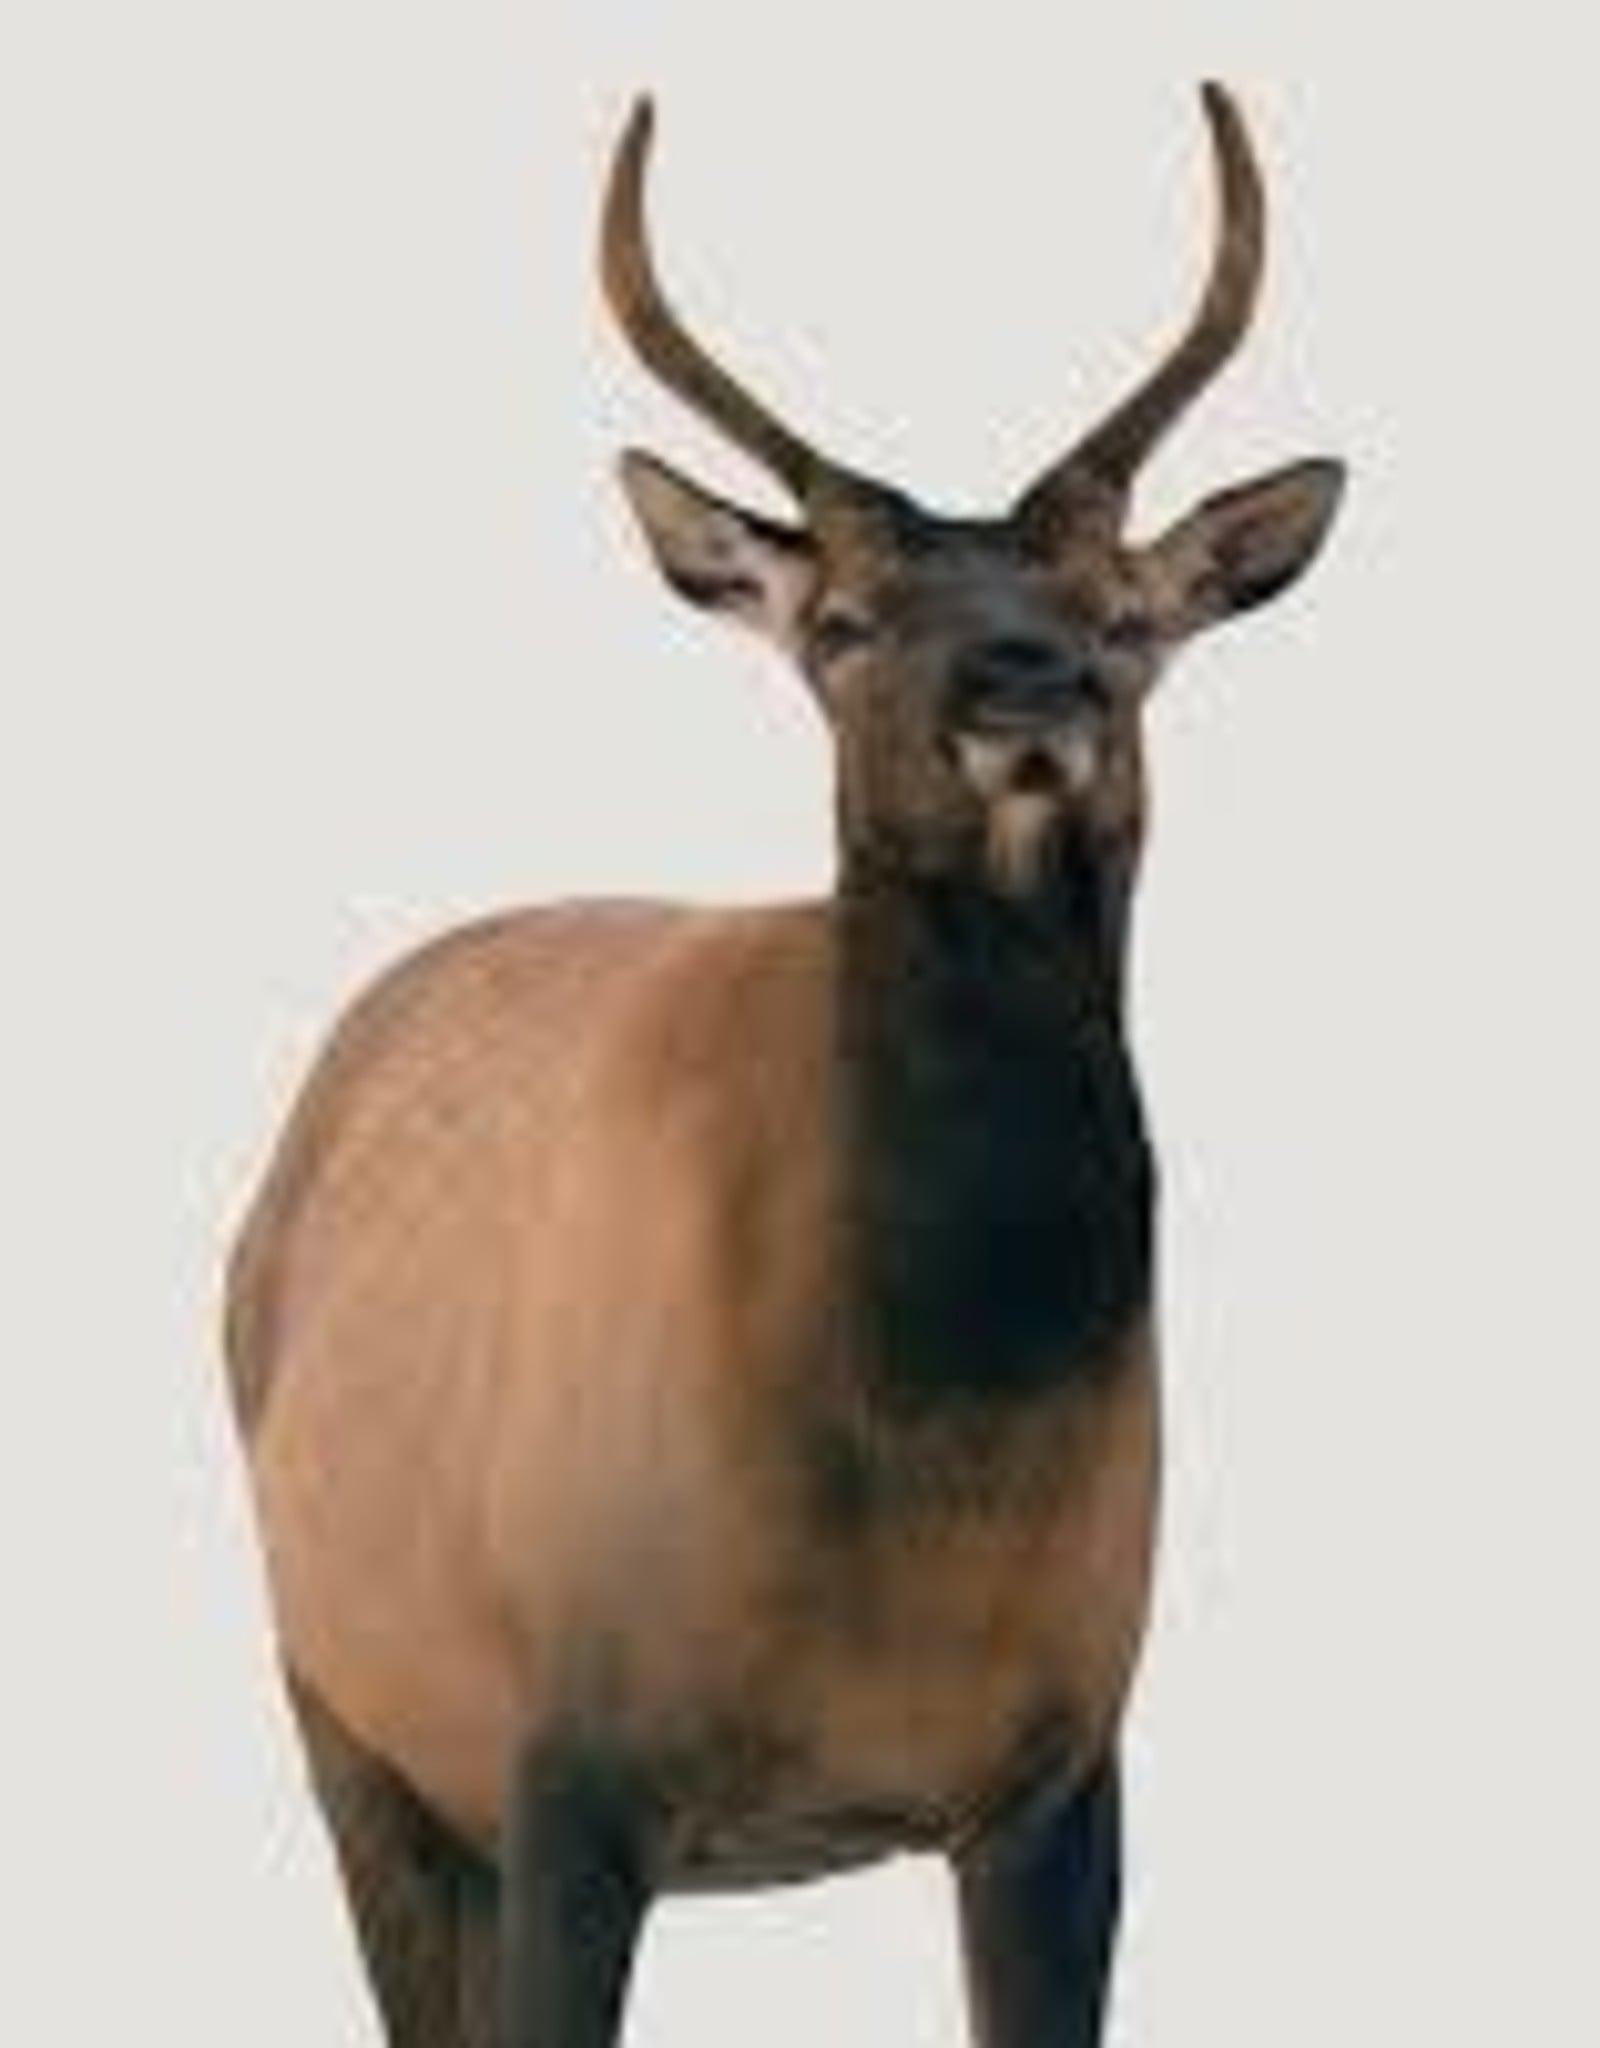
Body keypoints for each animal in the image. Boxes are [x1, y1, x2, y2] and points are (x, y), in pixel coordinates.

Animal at [225, 81, 1343, 2048]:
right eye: (841, 626)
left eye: (1126, 617)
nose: (1029, 694)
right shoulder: (568, 1760)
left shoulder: (1065, 1767)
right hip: (351, 1713)